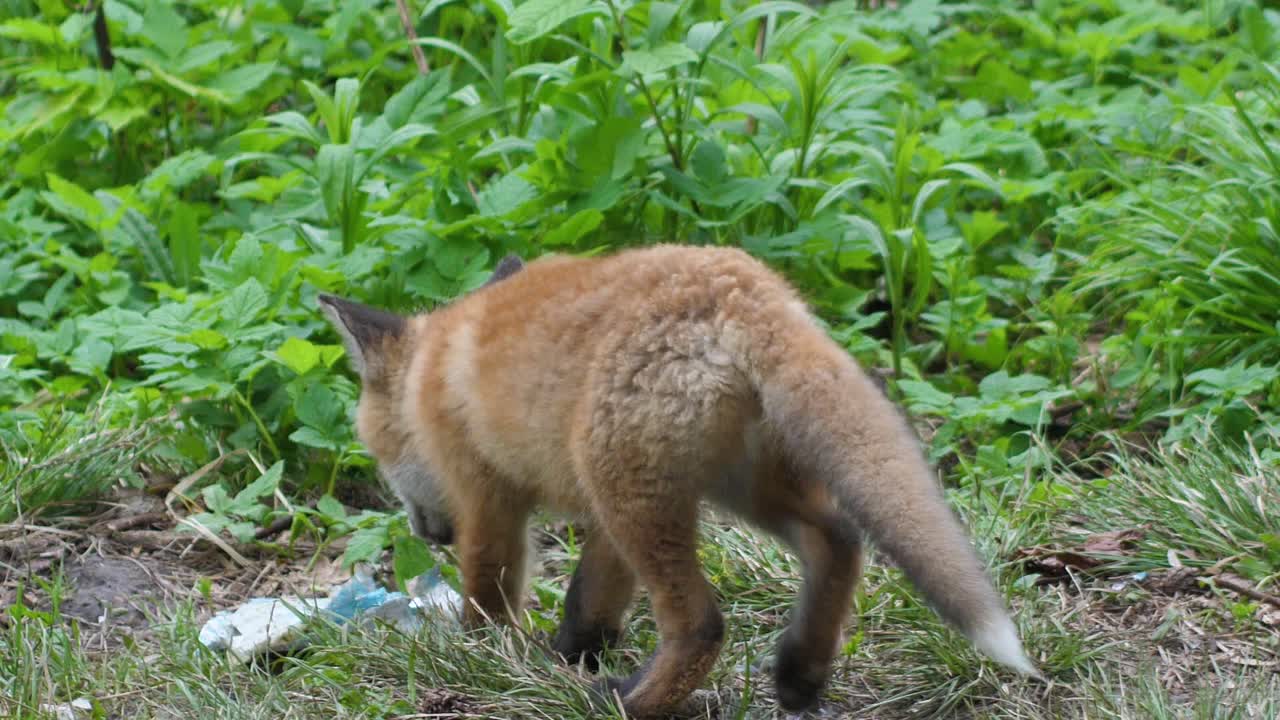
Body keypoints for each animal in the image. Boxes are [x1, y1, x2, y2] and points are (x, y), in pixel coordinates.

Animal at [317, 244, 1039, 717]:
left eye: (377, 454)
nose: (424, 533)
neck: (429, 374)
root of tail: (744, 289)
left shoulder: (485, 492)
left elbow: (490, 593)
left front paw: (488, 659)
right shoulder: (596, 515)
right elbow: (590, 602)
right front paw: (570, 658)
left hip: (639, 493)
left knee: (702, 625)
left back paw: (631, 705)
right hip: (719, 486)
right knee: (836, 539)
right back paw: (799, 675)